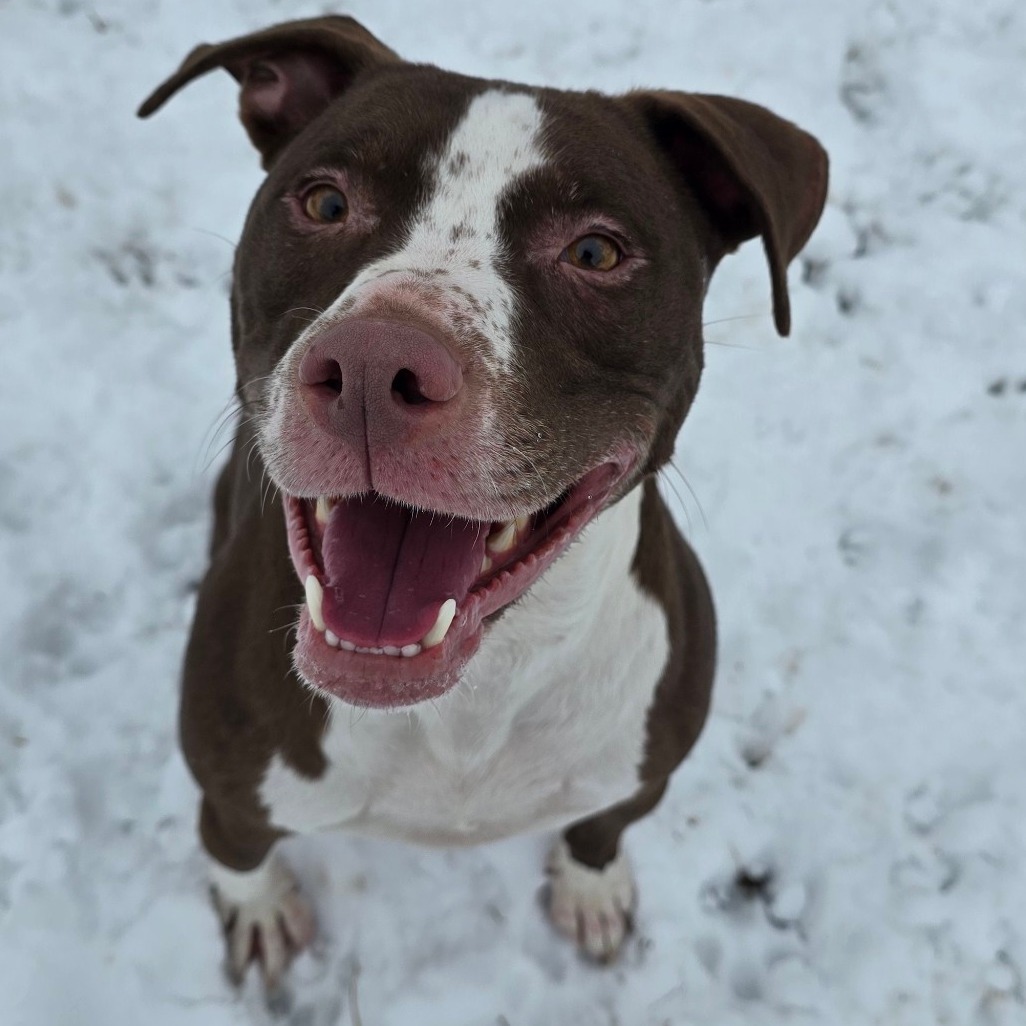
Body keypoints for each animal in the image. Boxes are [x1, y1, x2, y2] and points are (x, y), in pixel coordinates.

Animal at [136, 16, 824, 989]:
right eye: (325, 202)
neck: (474, 695)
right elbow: (238, 854)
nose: (375, 366)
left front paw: (592, 889)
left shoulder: (641, 772)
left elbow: (603, 826)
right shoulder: (229, 791)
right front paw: (262, 912)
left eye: (596, 251)